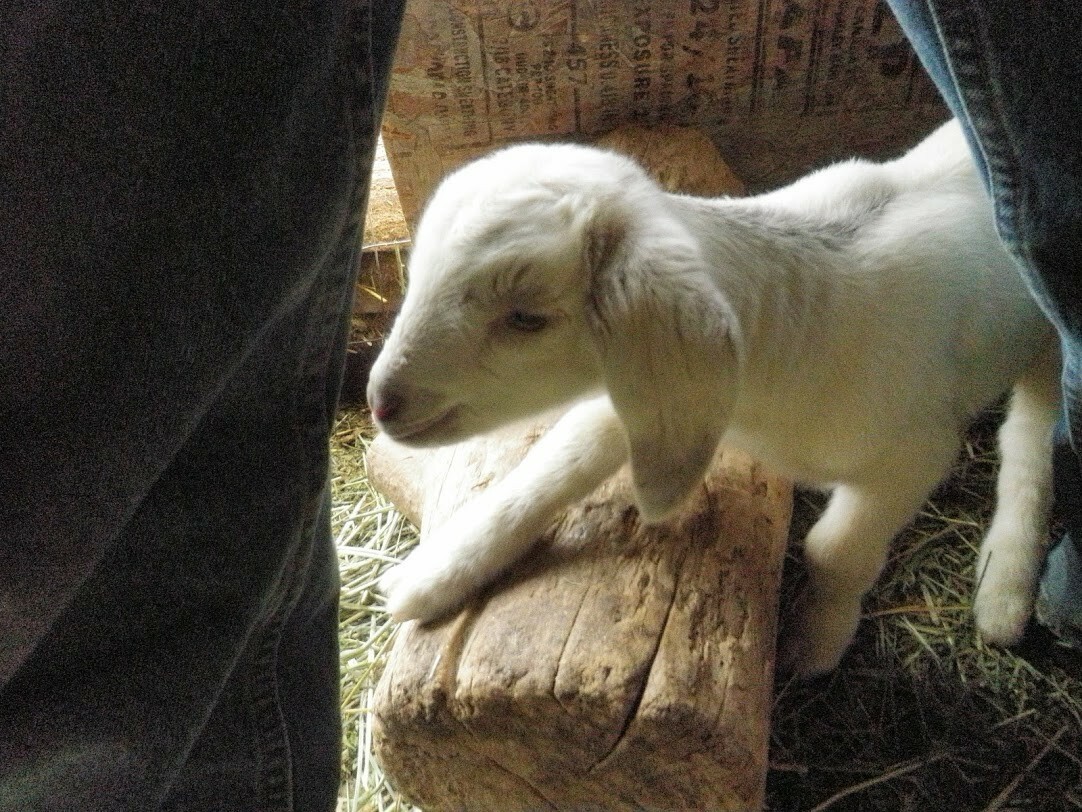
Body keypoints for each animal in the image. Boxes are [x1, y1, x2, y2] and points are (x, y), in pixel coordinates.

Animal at [367, 120, 1060, 677]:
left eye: (526, 319)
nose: (381, 401)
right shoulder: (653, 395)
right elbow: (551, 467)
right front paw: (437, 573)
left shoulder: (914, 454)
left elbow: (835, 549)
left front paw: (816, 640)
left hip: (1049, 340)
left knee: (1033, 437)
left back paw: (1005, 589)